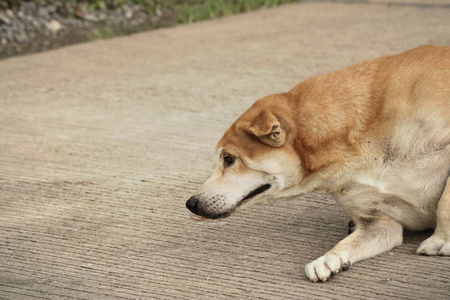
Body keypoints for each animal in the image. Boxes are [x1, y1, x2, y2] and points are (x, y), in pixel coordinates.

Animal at [185, 45, 450, 282]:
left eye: (229, 159)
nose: (191, 203)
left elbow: (444, 203)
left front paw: (441, 241)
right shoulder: (379, 223)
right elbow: (349, 243)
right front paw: (329, 259)